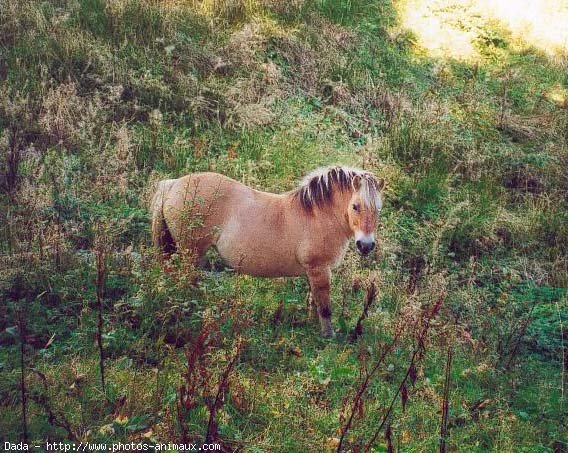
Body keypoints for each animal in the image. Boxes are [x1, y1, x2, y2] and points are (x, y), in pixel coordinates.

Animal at [151, 165, 384, 336]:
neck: (318, 215)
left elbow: (314, 302)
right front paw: (329, 337)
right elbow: (324, 306)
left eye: (378, 209)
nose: (366, 245)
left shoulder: (312, 272)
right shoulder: (320, 270)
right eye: (355, 206)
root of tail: (173, 184)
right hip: (191, 252)